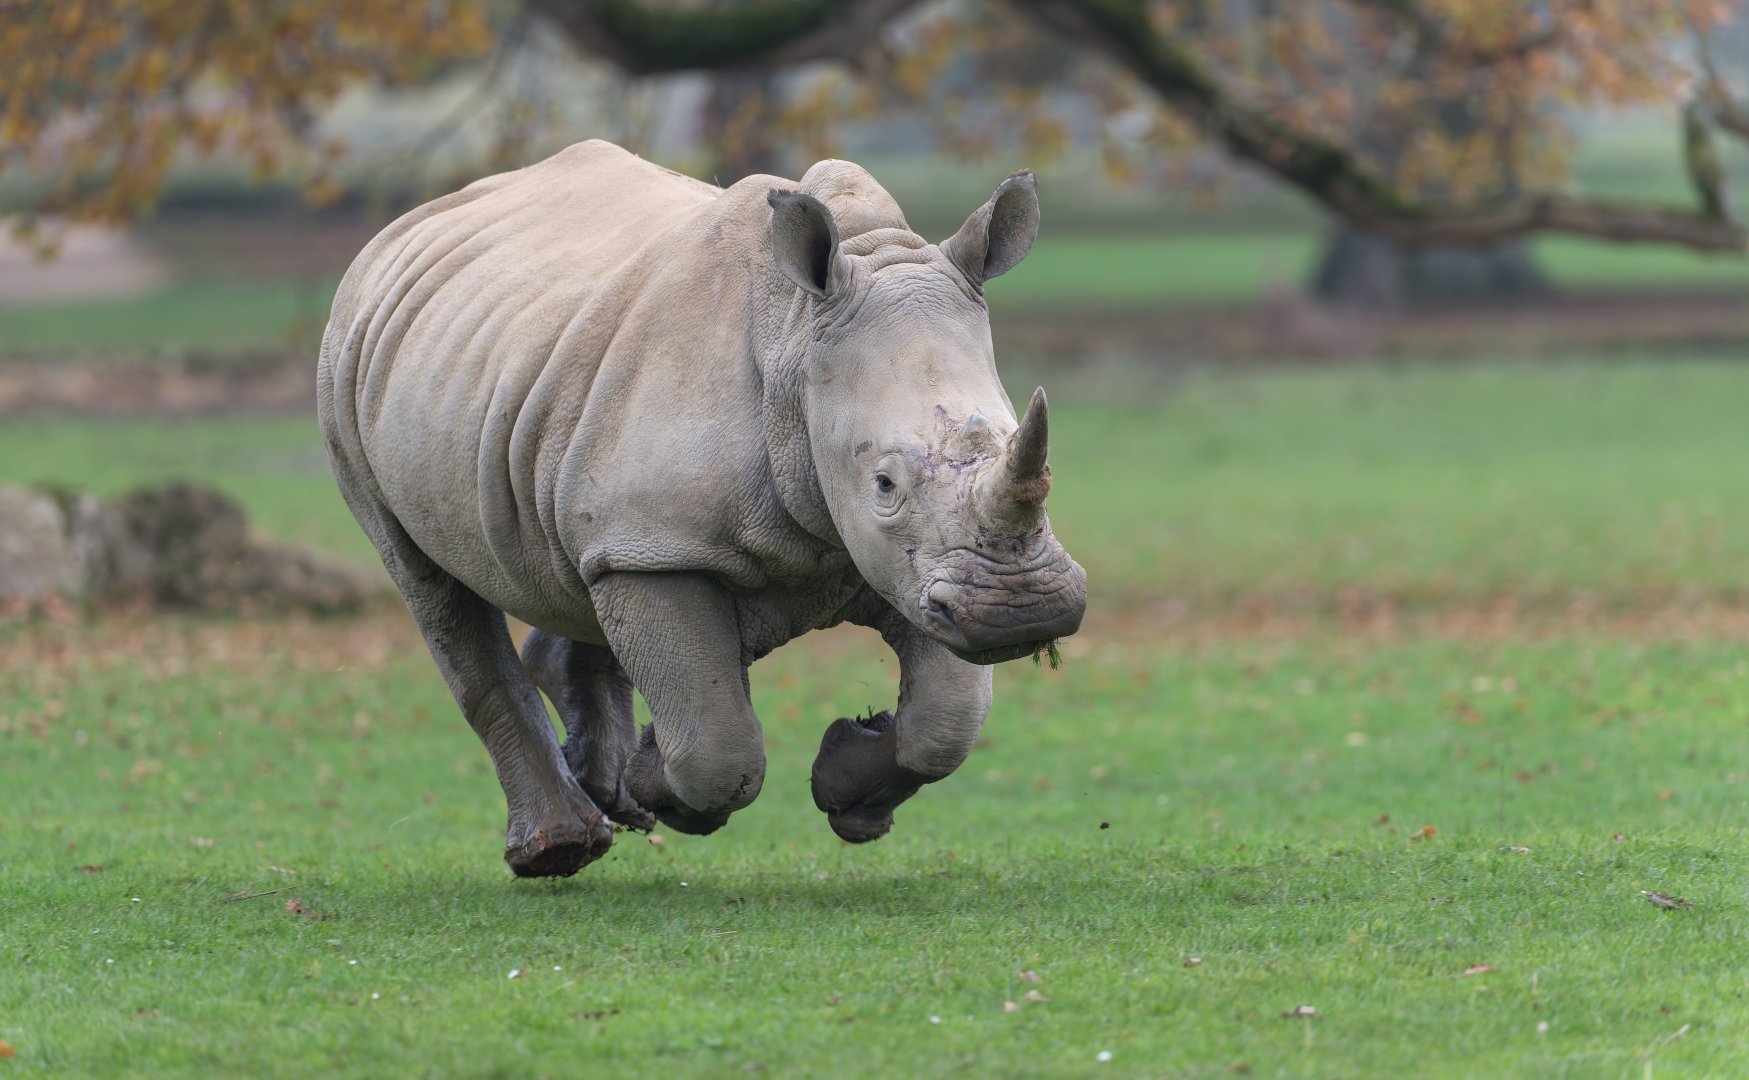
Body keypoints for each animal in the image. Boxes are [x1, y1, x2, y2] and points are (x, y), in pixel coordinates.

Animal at [317, 141, 1086, 877]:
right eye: (884, 484)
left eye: (1024, 447)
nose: (1024, 611)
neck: (796, 343)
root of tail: (402, 228)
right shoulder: (659, 547)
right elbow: (719, 746)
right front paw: (665, 782)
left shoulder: (913, 566)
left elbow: (947, 721)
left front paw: (849, 787)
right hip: (346, 366)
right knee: (429, 584)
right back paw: (559, 849)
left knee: (575, 564)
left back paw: (609, 798)